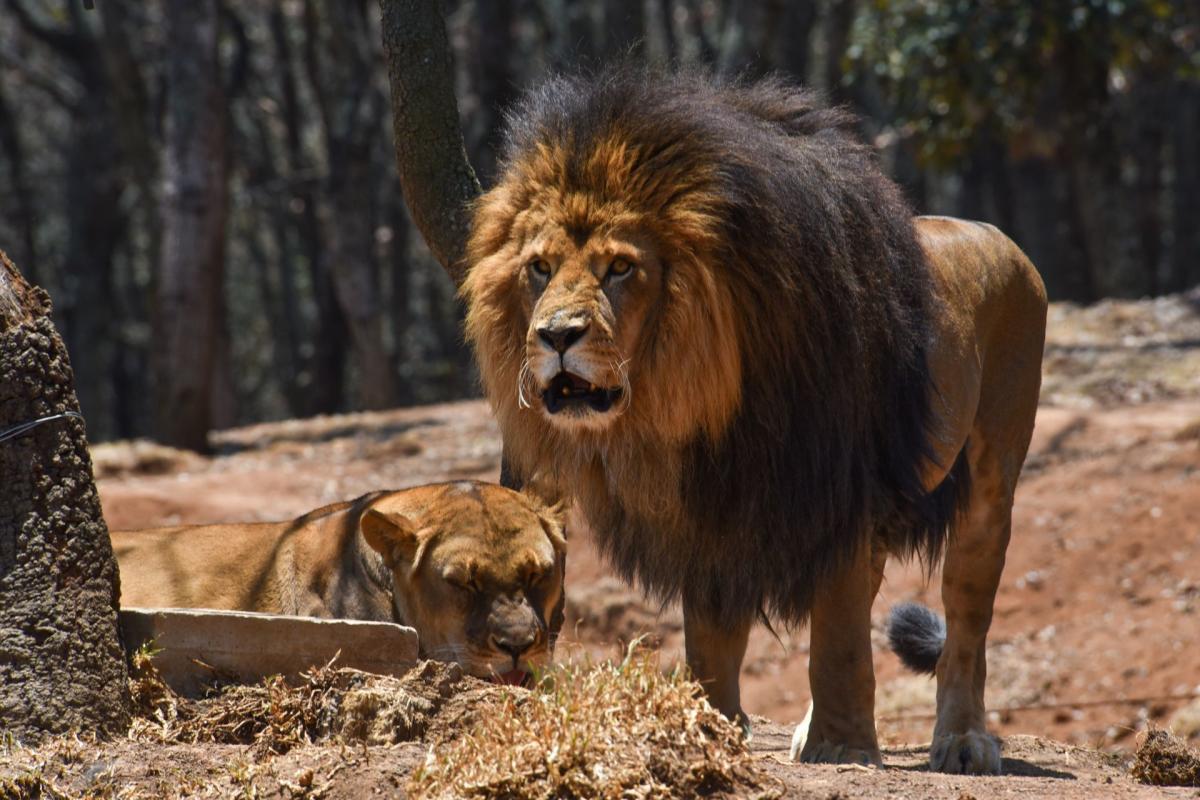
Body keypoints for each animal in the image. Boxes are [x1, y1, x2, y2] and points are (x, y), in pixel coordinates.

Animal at [463, 70, 1046, 777]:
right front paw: (711, 728)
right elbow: (711, 635)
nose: (554, 335)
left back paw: (963, 741)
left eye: (621, 268)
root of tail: (994, 232)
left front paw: (842, 747)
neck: (703, 389)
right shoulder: (712, 503)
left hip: (992, 476)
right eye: (540, 268)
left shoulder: (838, 488)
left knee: (966, 616)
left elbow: (839, 637)